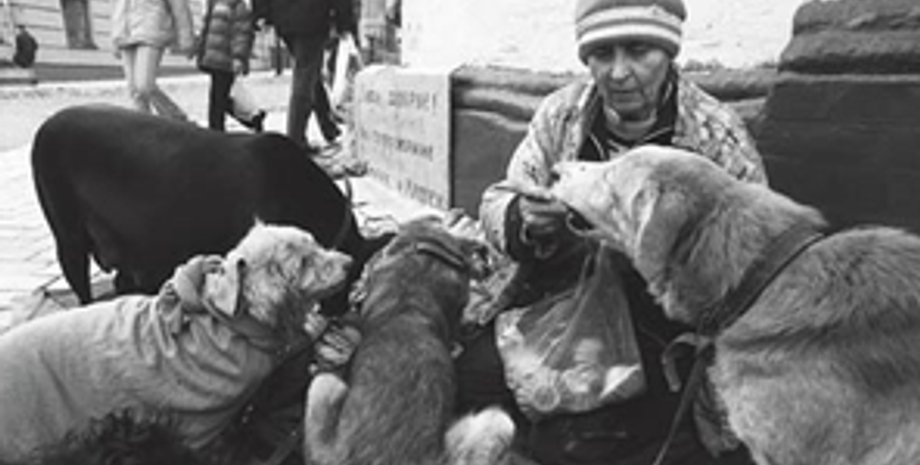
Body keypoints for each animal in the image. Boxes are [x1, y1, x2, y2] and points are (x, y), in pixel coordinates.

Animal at [31, 104, 383, 314]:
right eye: (349, 281)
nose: (339, 314)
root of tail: (44, 127)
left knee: (123, 283)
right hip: (69, 239)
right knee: (82, 287)